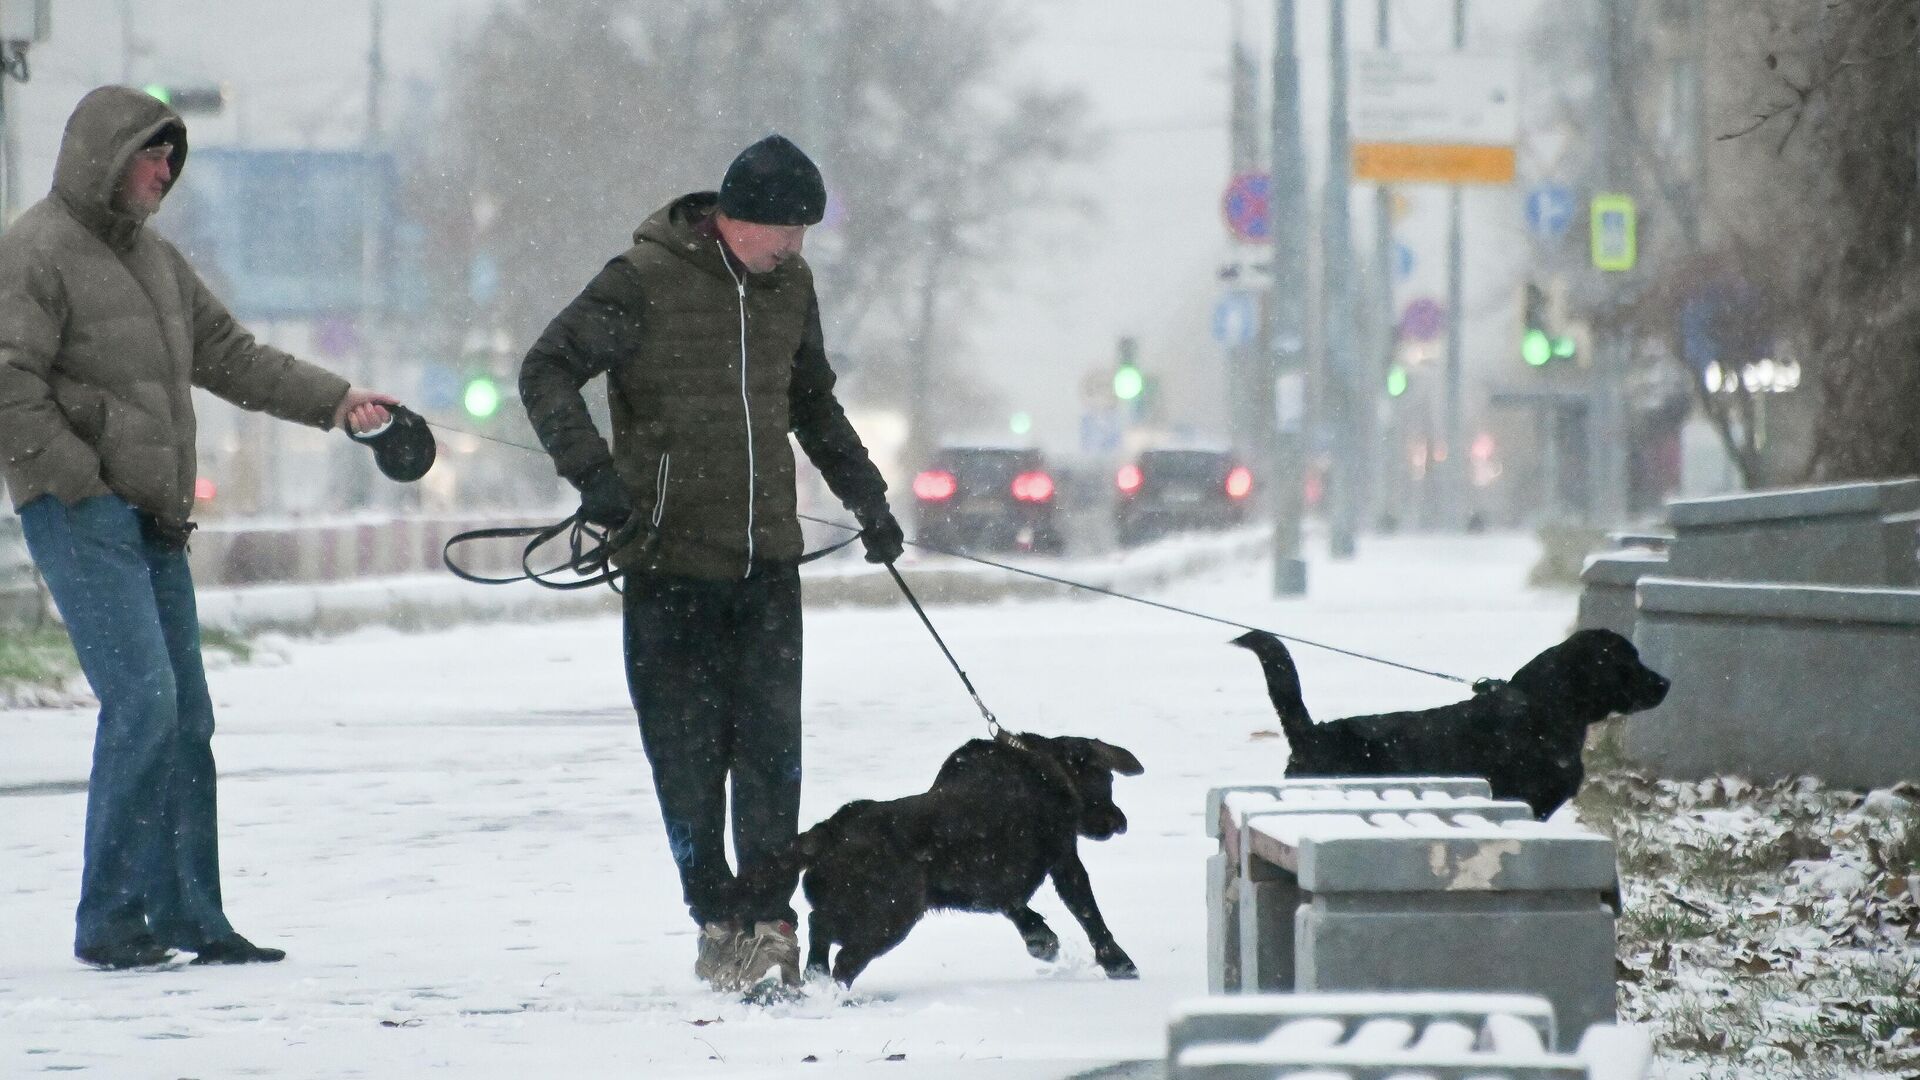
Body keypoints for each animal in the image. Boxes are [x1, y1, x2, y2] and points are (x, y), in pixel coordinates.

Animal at [768, 730, 1144, 983]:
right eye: (1107, 780)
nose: (1121, 822)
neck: (1044, 767)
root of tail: (830, 829)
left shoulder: (992, 880)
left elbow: (1014, 906)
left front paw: (1041, 939)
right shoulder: (1064, 857)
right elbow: (1089, 913)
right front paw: (1118, 962)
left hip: (855, 910)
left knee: (817, 926)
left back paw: (815, 975)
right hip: (889, 915)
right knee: (844, 957)